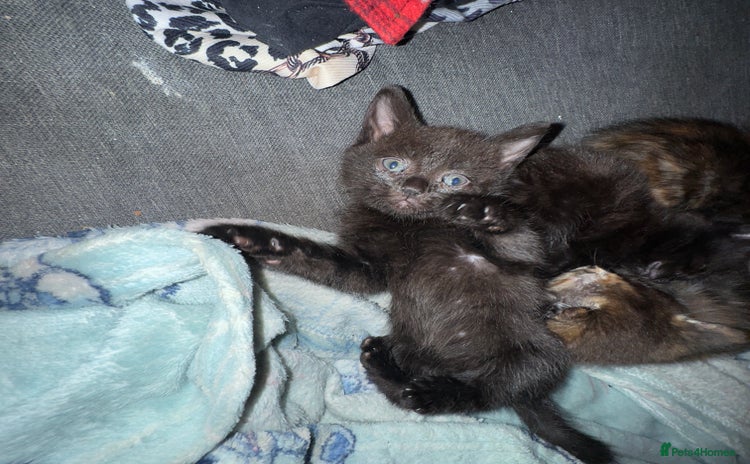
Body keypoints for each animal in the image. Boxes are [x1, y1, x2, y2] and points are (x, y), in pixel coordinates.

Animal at [203, 86, 614, 463]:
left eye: (454, 180)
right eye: (393, 165)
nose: (413, 188)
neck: (412, 227)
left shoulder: (526, 255)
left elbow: (517, 239)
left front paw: (481, 211)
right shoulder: (366, 267)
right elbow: (318, 259)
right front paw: (253, 239)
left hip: (538, 353)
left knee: (482, 393)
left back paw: (431, 391)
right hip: (412, 343)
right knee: (413, 389)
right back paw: (382, 363)